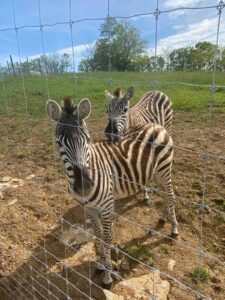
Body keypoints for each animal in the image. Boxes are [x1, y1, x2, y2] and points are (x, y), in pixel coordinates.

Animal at [46, 97, 179, 288]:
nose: (84, 184)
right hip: (154, 172)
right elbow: (99, 235)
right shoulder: (89, 208)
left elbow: (107, 239)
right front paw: (101, 264)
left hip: (164, 169)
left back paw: (174, 228)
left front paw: (108, 276)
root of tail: (156, 125)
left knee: (170, 196)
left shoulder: (107, 207)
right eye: (58, 143)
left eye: (87, 139)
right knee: (165, 197)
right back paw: (163, 217)